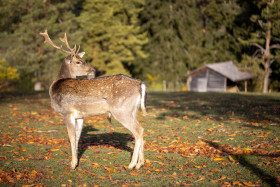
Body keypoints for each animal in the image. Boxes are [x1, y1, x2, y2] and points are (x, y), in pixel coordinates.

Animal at [40, 30, 148, 170]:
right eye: (79, 62)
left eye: (84, 60)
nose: (93, 70)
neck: (54, 87)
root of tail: (140, 84)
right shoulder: (79, 116)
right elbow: (77, 138)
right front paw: (76, 162)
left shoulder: (67, 112)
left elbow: (71, 137)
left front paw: (72, 164)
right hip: (132, 110)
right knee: (140, 130)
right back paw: (140, 163)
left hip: (121, 110)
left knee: (138, 130)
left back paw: (131, 165)